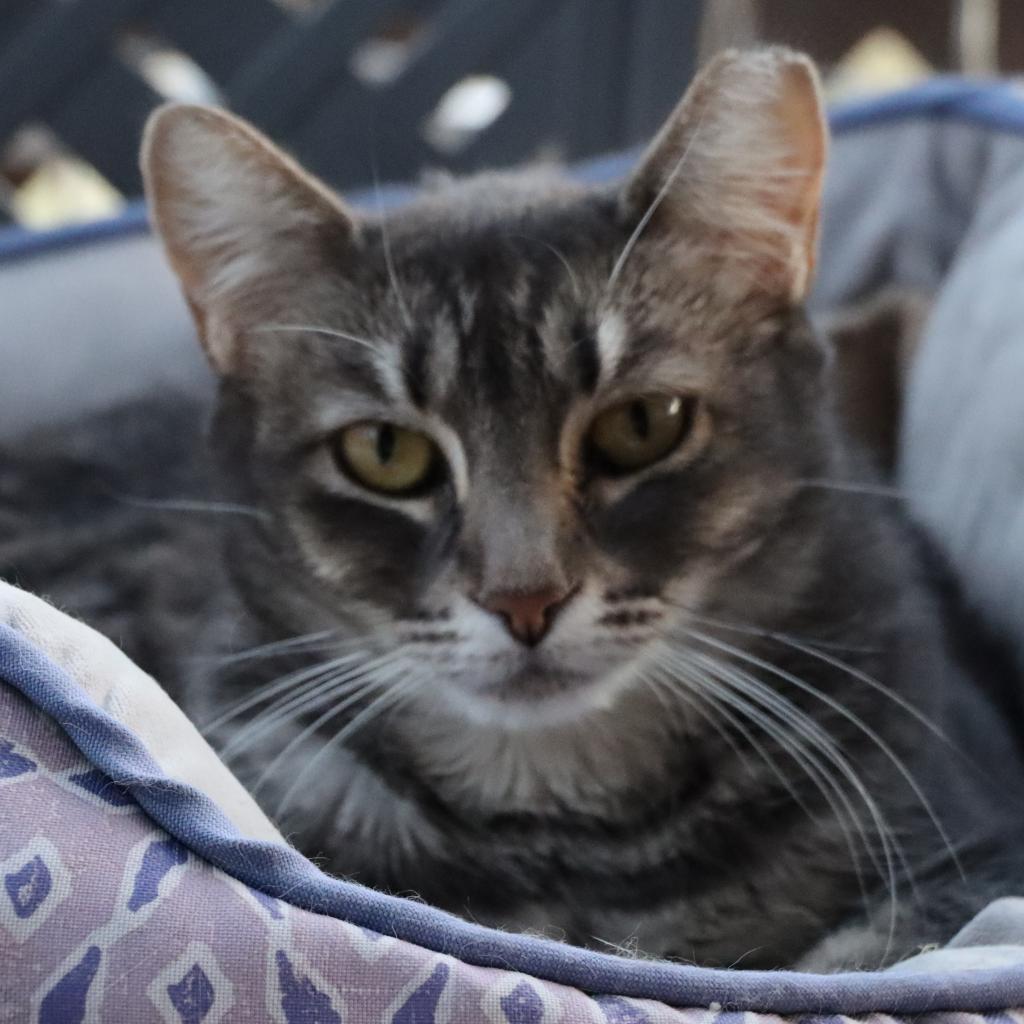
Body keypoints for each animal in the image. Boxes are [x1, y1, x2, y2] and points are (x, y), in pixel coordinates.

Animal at [2, 48, 1024, 970]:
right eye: (386, 452)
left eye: (643, 425)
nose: (524, 598)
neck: (564, 825)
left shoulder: (971, 862)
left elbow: (852, 955)